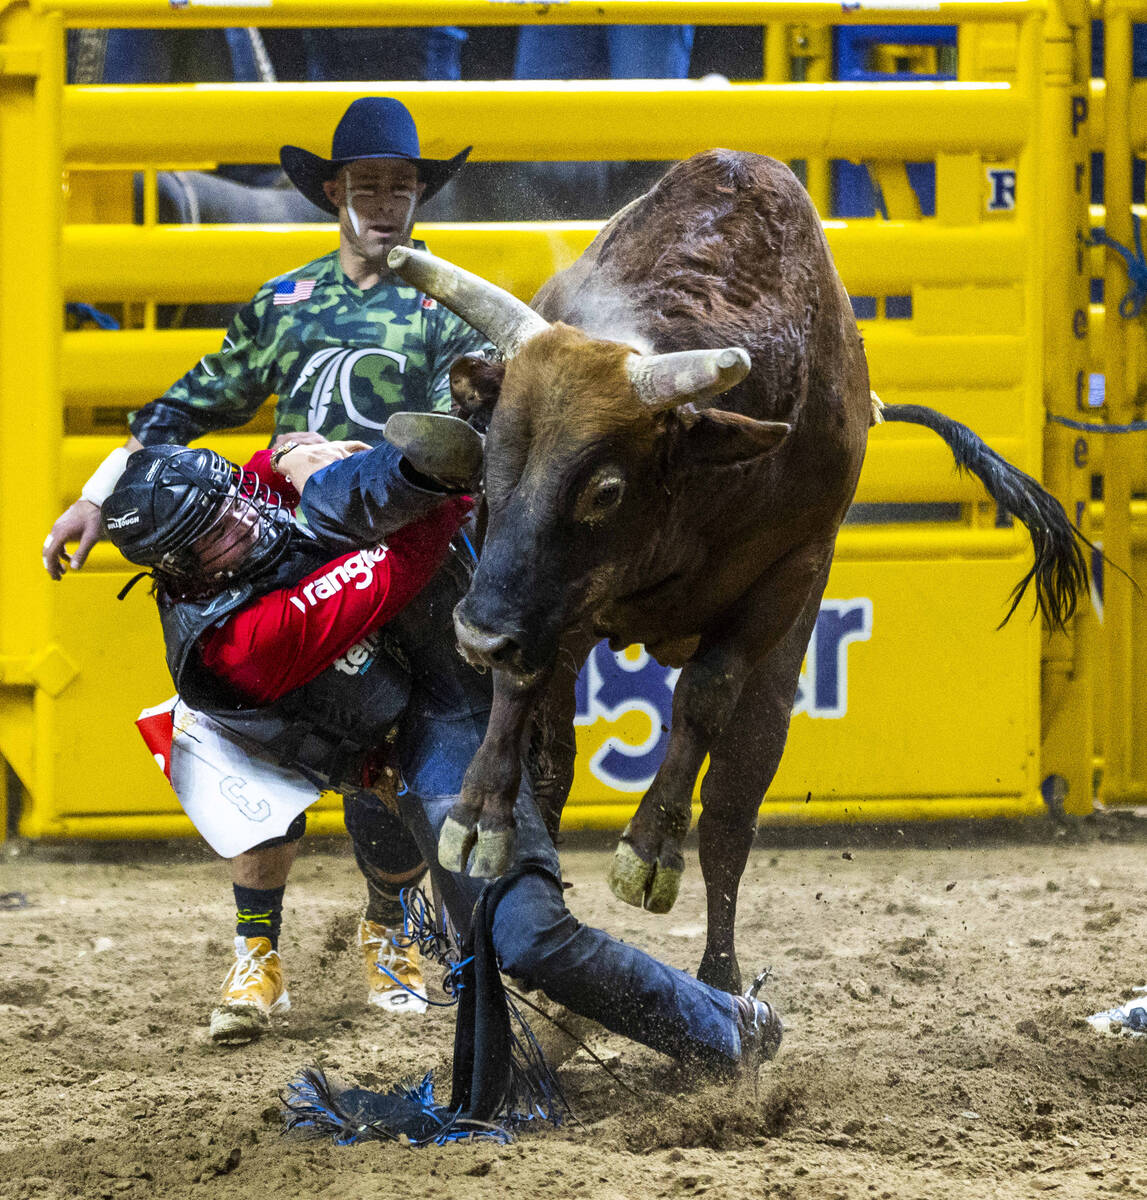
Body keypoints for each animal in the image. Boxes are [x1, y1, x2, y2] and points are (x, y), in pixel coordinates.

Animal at [388, 150, 1089, 993]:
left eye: (605, 489)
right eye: (491, 455)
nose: (475, 634)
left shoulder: (786, 575)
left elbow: (705, 703)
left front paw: (648, 853)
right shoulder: (539, 595)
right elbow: (526, 705)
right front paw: (479, 821)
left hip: (780, 658)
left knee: (732, 800)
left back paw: (720, 980)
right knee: (558, 764)